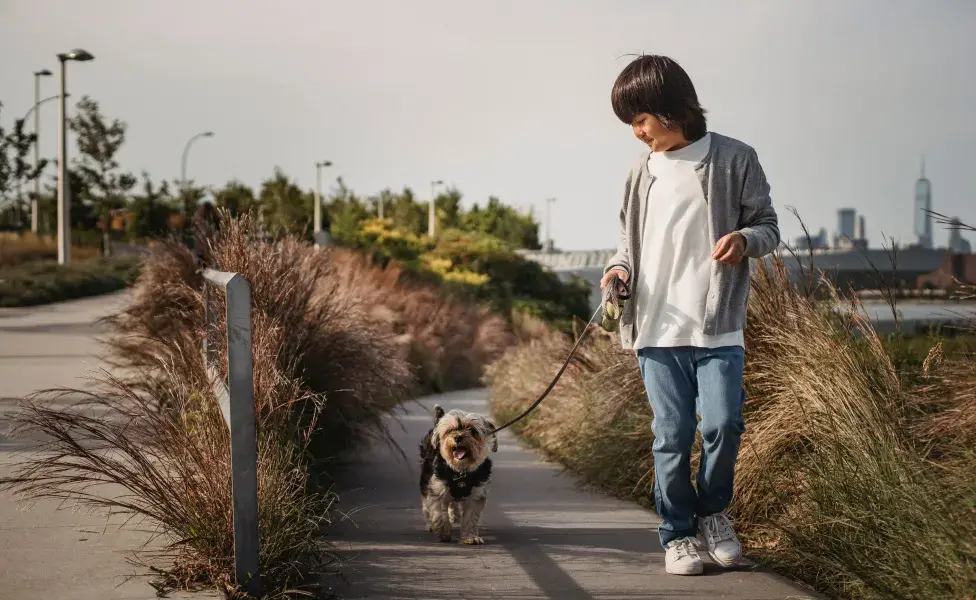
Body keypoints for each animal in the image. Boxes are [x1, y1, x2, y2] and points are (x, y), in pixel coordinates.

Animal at [418, 404, 496, 544]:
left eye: (472, 430)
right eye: (450, 430)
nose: (458, 437)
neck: (460, 470)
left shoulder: (476, 493)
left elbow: (470, 517)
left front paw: (470, 536)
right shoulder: (437, 489)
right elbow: (439, 512)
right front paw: (443, 532)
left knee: (452, 503)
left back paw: (455, 515)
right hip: (426, 477)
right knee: (427, 504)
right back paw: (430, 523)